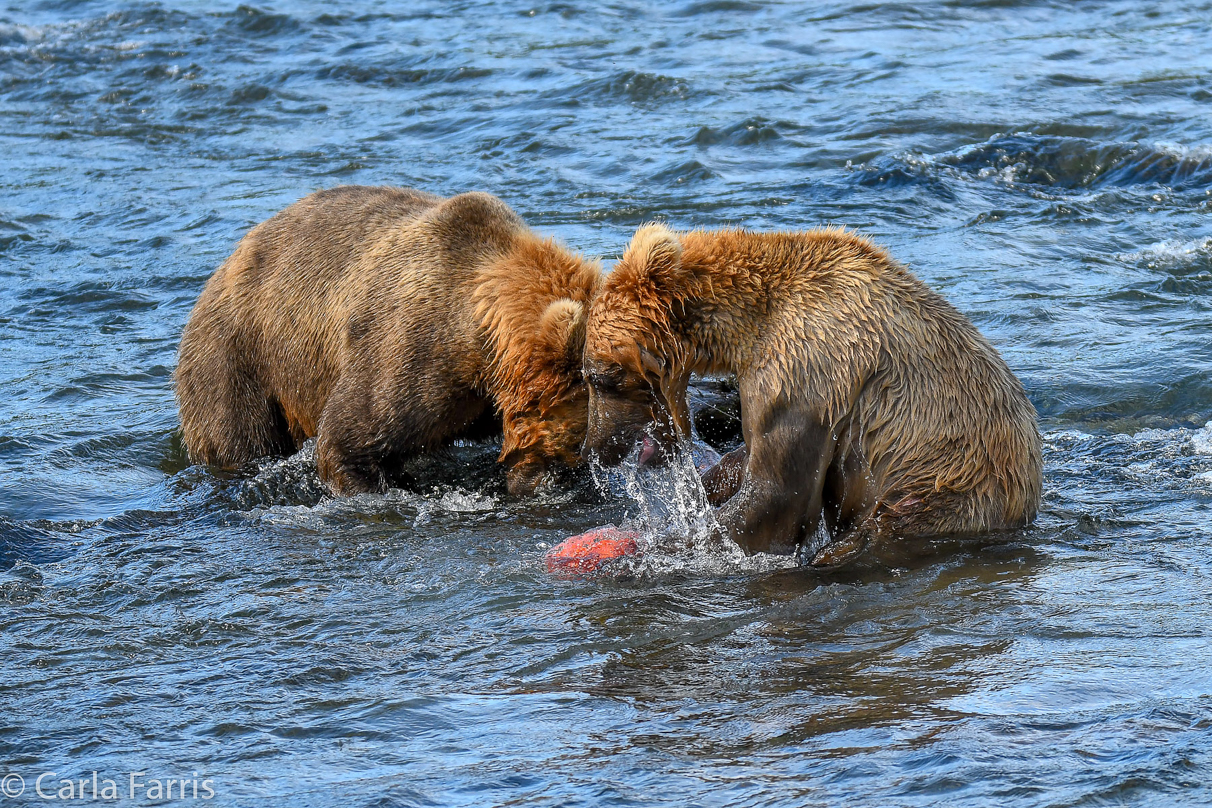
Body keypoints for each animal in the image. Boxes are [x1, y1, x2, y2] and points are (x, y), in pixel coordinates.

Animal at [175, 186, 601, 496]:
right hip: (236, 357)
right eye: (577, 442)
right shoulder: (415, 352)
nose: (551, 481)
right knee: (238, 437)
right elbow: (347, 439)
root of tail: (221, 270)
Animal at [576, 222, 1042, 569]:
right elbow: (746, 462)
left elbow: (774, 503)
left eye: (598, 378)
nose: (594, 447)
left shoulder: (805, 375)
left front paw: (641, 547)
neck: (746, 329)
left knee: (879, 529)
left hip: (948, 490)